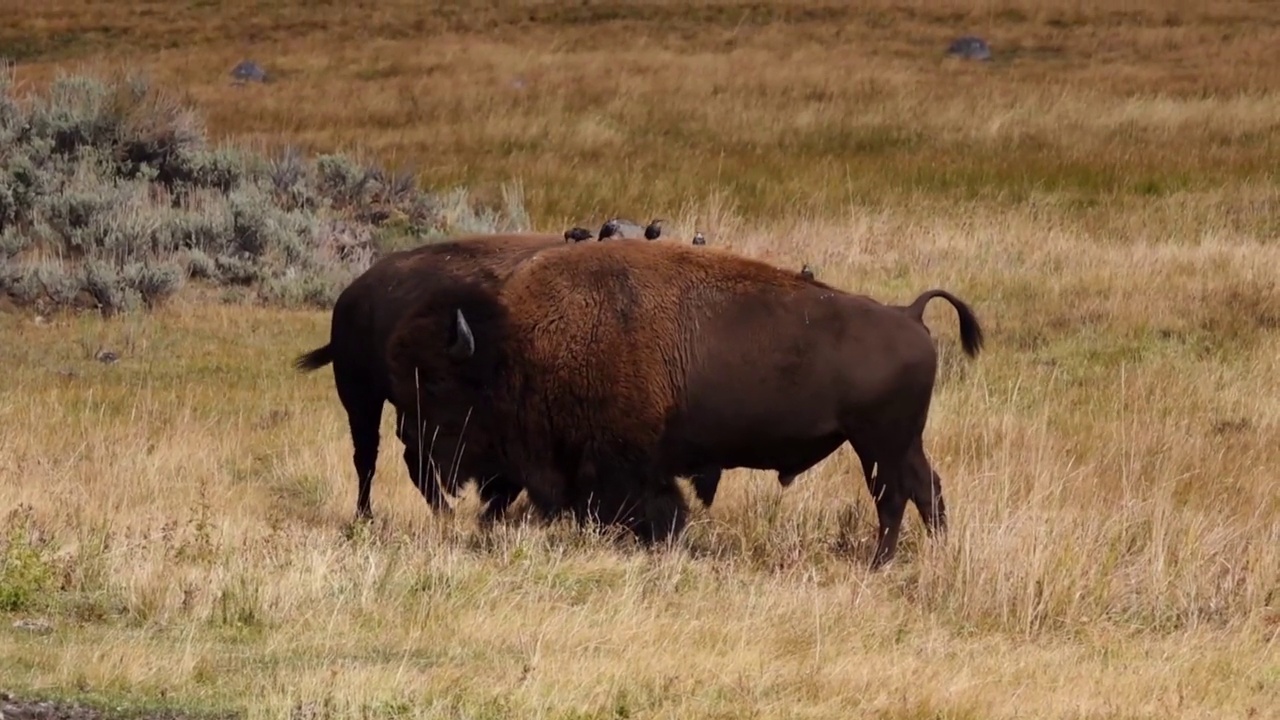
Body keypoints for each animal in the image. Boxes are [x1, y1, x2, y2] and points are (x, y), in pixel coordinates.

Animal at [384, 238, 983, 563]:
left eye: (436, 384)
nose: (411, 451)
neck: (520, 347)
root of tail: (909, 314)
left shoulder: (628, 464)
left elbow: (656, 508)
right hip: (898, 443)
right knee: (926, 490)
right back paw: (929, 556)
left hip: (878, 444)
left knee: (895, 497)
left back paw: (879, 564)